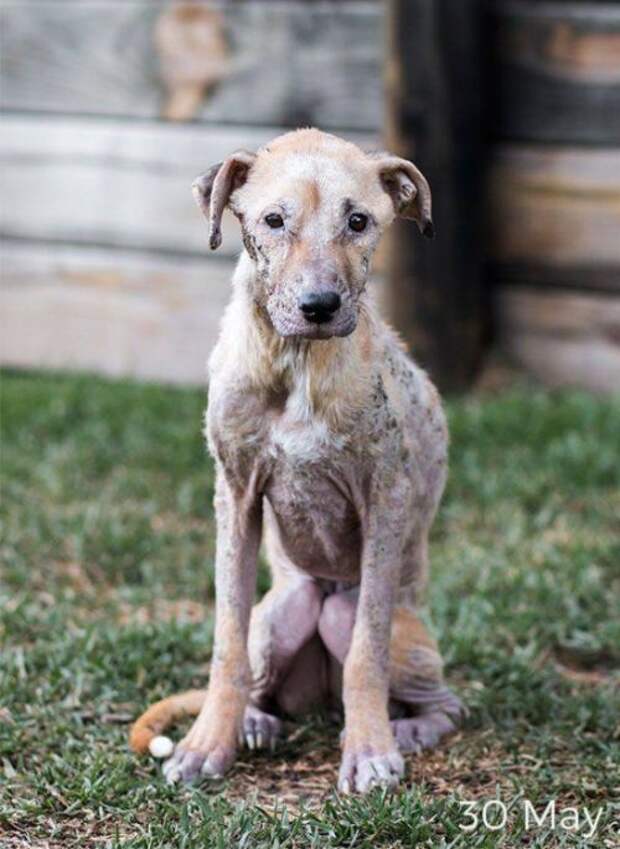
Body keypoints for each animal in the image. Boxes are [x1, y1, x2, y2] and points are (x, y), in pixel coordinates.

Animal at [133, 129, 468, 792]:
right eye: (273, 220)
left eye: (359, 221)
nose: (320, 305)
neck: (297, 362)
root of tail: (320, 703)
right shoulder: (235, 496)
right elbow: (226, 641)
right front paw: (208, 743)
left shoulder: (385, 496)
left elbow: (367, 649)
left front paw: (369, 751)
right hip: (282, 616)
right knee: (262, 668)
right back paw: (256, 722)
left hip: (371, 624)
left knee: (443, 700)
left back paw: (407, 729)